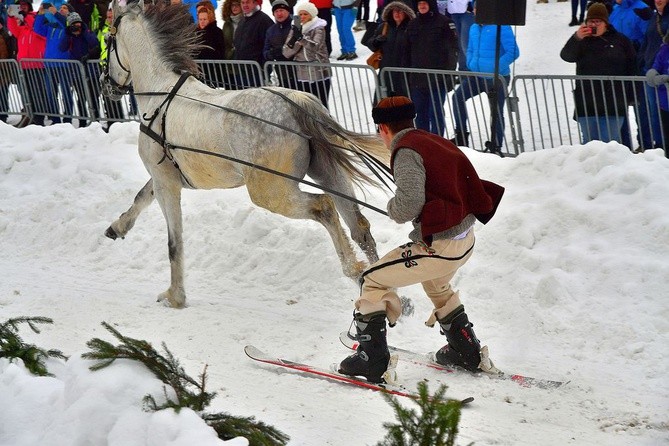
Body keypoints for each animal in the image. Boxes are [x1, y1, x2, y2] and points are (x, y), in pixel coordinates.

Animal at [101, 0, 388, 306]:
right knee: (358, 225)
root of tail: (297, 102)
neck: (160, 95)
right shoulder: (164, 176)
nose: (106, 85)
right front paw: (117, 227)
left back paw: (354, 269)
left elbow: (173, 241)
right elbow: (142, 196)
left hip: (270, 190)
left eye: (108, 39)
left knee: (323, 207)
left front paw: (175, 296)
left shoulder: (166, 182)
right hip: (327, 173)